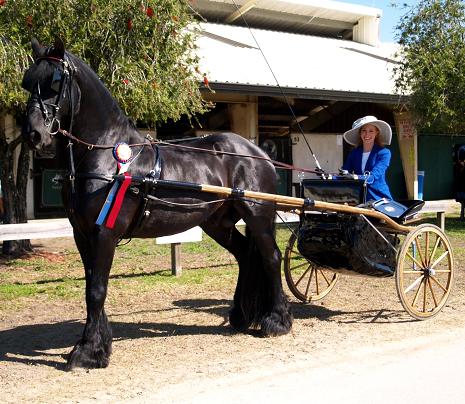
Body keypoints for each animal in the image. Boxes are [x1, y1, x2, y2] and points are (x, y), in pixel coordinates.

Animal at [22, 39, 290, 370]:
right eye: (27, 82)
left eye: (56, 81)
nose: (33, 134)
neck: (106, 154)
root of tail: (257, 151)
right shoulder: (82, 234)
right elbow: (90, 285)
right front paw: (98, 345)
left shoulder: (105, 232)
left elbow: (97, 290)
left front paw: (87, 352)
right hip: (218, 222)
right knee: (245, 256)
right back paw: (240, 317)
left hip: (258, 215)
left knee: (271, 258)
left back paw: (277, 321)